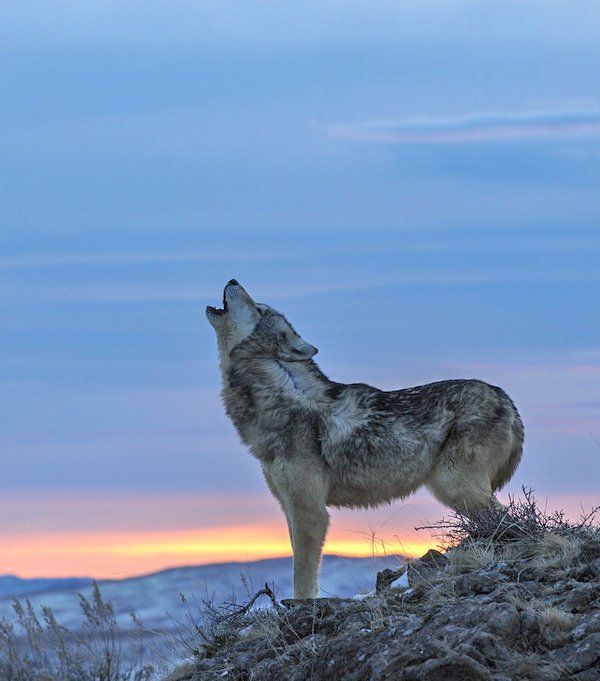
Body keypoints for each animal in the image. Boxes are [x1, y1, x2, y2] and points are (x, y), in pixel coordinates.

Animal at [206, 280, 524, 599]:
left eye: (259, 308)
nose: (233, 280)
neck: (282, 397)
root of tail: (505, 397)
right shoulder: (289, 507)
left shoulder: (311, 512)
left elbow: (303, 577)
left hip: (456, 487)